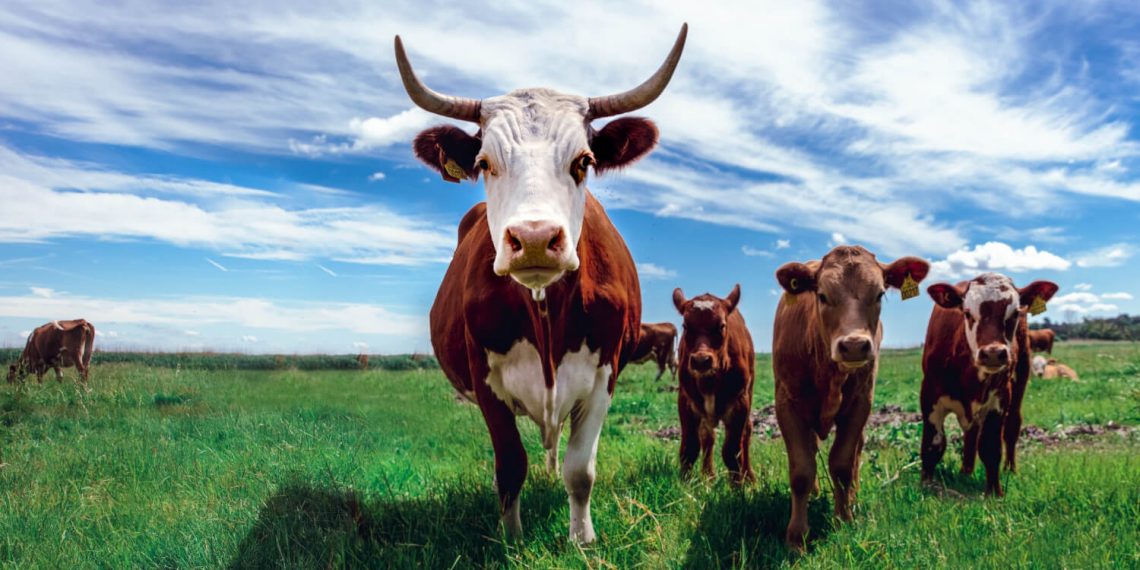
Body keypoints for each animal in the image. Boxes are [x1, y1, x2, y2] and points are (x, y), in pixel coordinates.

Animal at [396, 25, 687, 543]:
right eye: (485, 163)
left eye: (584, 161)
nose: (533, 239)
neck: (545, 310)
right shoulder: (484, 380)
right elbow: (511, 465)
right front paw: (511, 537)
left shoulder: (605, 375)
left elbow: (580, 469)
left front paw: (582, 538)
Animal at [672, 285, 755, 484]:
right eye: (686, 326)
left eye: (721, 326)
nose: (701, 360)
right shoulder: (686, 401)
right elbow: (689, 448)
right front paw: (685, 485)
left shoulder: (740, 402)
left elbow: (732, 452)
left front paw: (737, 487)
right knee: (707, 437)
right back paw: (708, 475)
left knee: (747, 432)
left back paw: (749, 476)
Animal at [773, 245, 930, 550]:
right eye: (822, 295)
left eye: (879, 294)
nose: (855, 345)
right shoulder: (787, 403)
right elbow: (801, 470)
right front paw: (796, 537)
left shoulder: (860, 404)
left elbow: (843, 464)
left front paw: (843, 519)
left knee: (856, 453)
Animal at [921, 273, 1059, 497]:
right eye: (968, 313)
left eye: (1014, 314)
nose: (993, 353)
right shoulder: (929, 395)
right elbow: (933, 445)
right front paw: (926, 485)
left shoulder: (999, 399)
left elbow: (990, 447)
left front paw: (994, 492)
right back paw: (965, 471)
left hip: (1021, 376)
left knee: (1011, 426)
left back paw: (1009, 469)